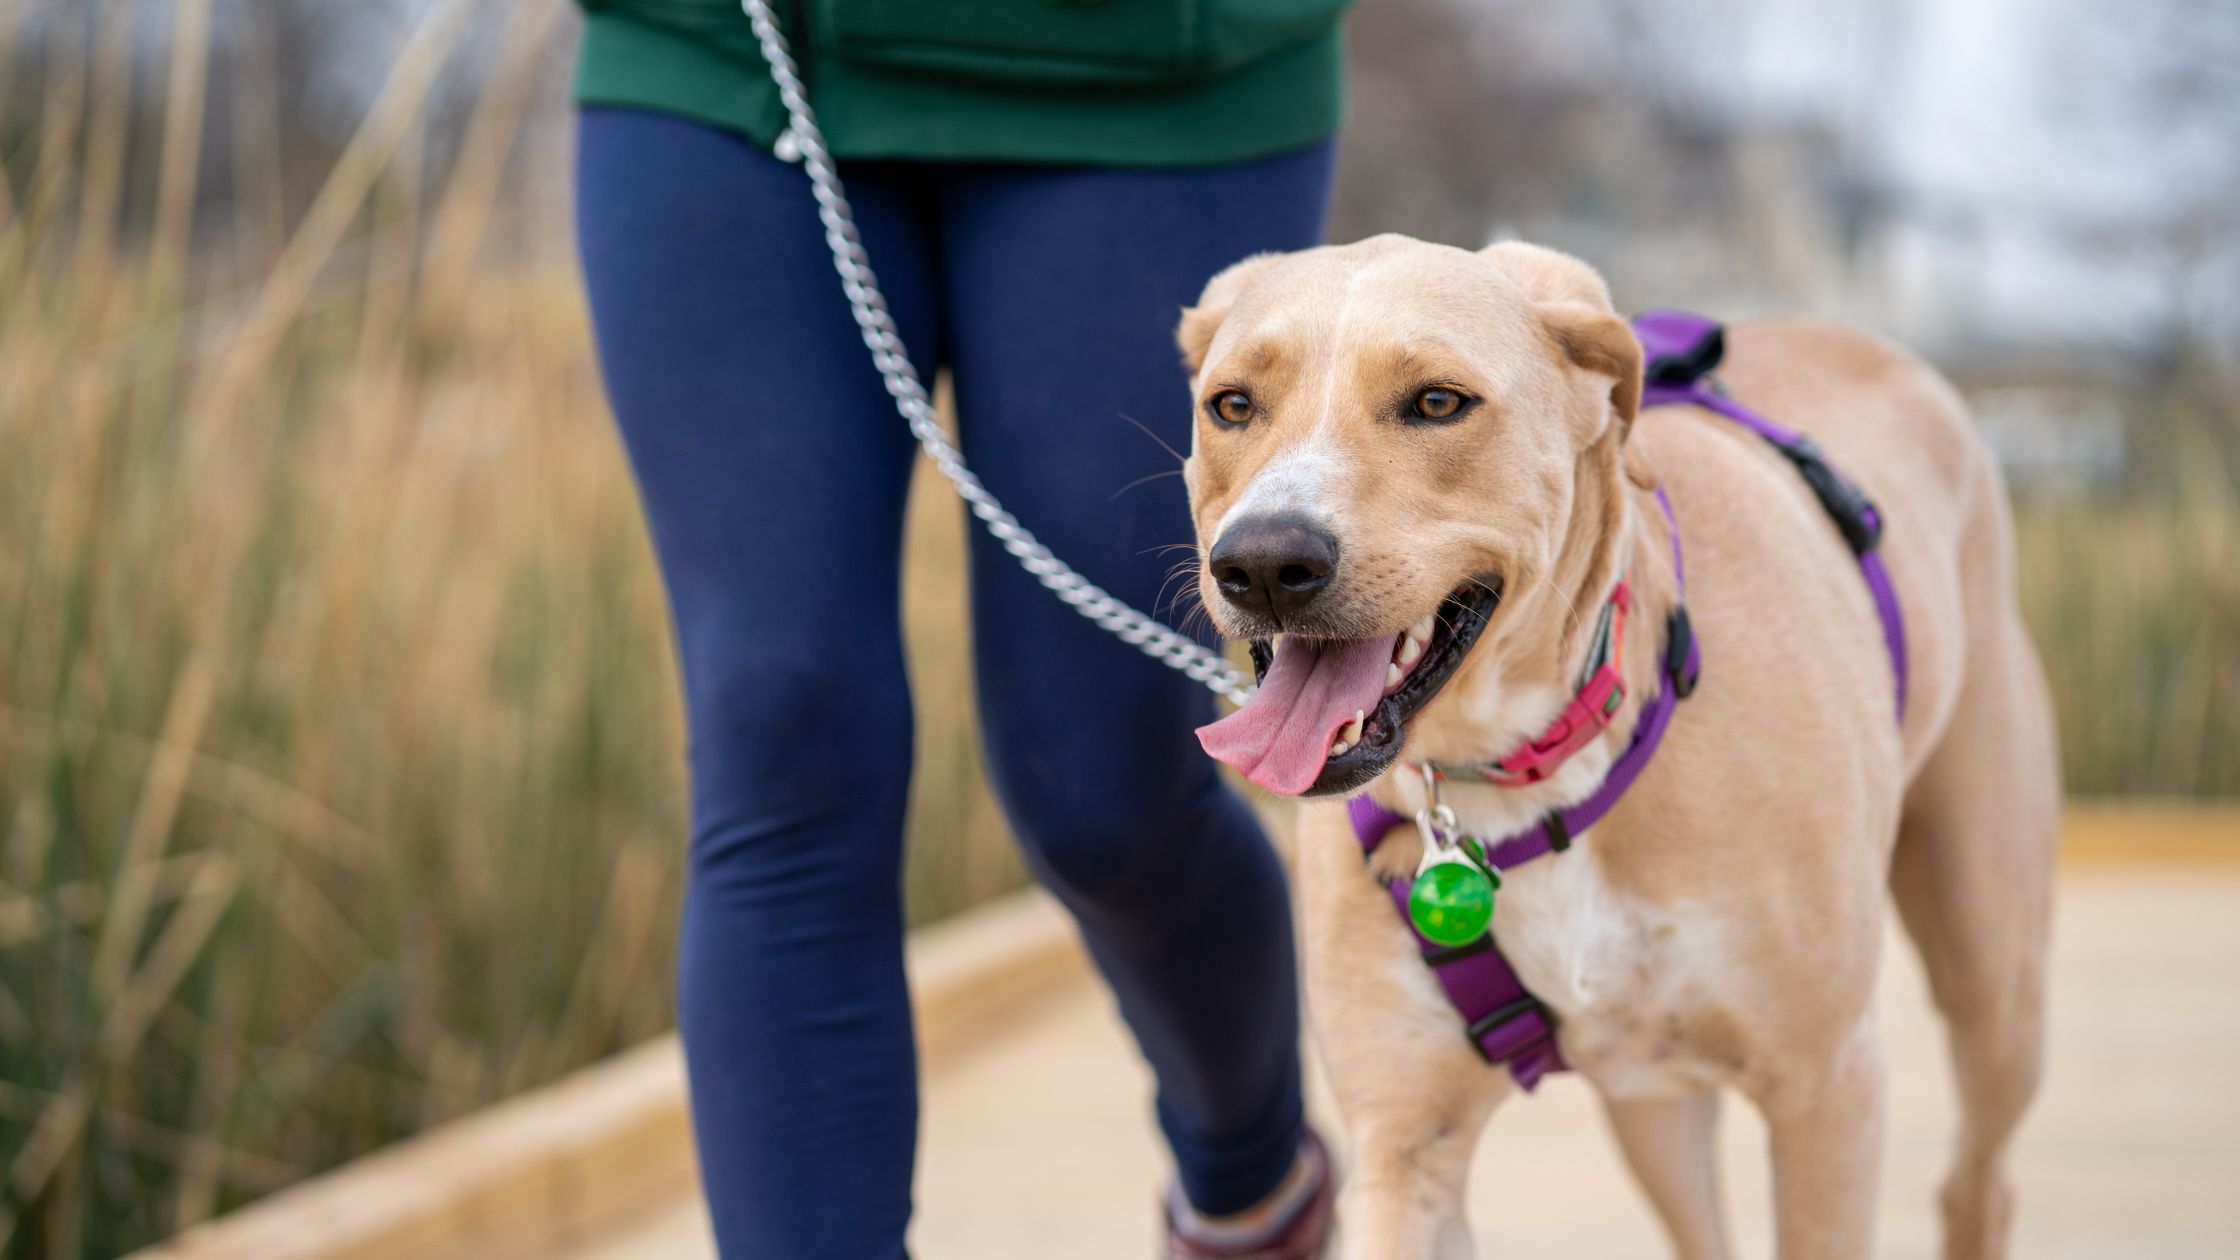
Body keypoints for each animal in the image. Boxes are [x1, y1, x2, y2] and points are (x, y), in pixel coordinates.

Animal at [1182, 235, 2051, 1255]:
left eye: (1437, 401)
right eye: (1232, 405)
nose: (1263, 564)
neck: (1518, 777)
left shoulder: (1829, 1090)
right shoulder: (1406, 1147)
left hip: (1995, 986)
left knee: (1978, 1178)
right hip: (1652, 1105)